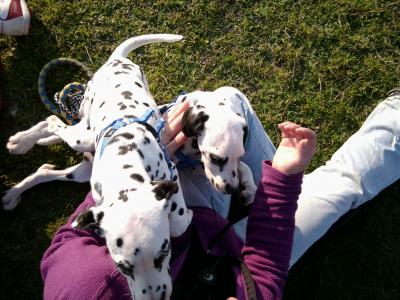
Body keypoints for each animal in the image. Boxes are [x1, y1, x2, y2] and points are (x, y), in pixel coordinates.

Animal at [2, 33, 192, 300]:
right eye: (122, 267)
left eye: (163, 254)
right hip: (84, 133)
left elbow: (178, 224)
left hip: (82, 167)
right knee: (54, 121)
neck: (126, 162)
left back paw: (15, 188)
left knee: (47, 164)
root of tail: (117, 60)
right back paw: (22, 142)